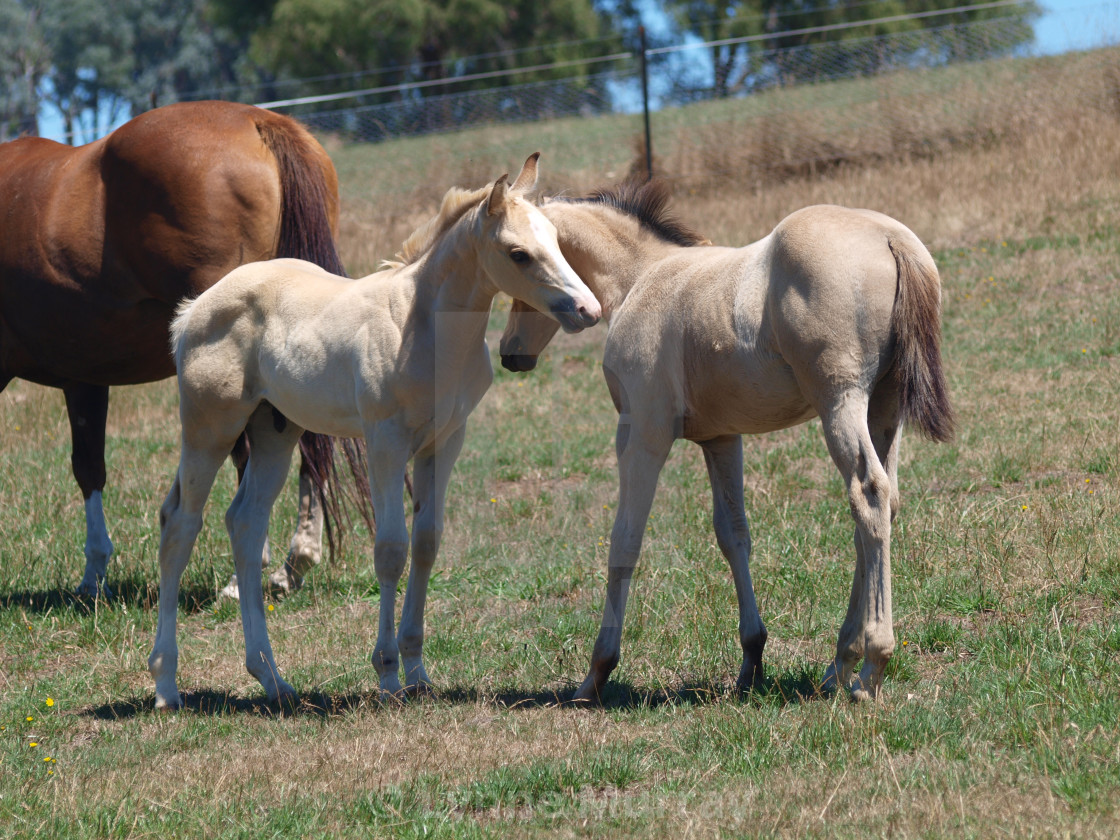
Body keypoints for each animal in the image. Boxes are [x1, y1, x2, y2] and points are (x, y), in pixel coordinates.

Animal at [0, 98, 344, 600]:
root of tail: (257, 120)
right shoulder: (84, 378)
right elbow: (89, 466)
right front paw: (94, 574)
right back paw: (293, 563)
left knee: (247, 453)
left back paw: (250, 574)